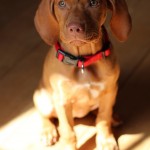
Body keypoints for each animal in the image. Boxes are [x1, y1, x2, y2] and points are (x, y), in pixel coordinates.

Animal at [33, 0, 131, 149]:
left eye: (94, 3)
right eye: (61, 4)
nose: (74, 28)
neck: (83, 61)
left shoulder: (109, 91)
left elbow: (103, 118)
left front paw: (106, 140)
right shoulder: (62, 101)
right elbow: (68, 131)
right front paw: (68, 146)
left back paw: (113, 118)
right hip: (43, 99)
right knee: (43, 114)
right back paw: (47, 131)